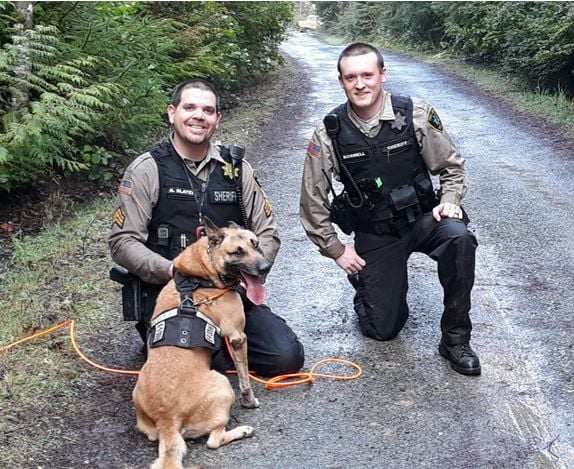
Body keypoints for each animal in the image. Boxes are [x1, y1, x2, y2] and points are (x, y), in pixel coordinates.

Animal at [132, 218, 272, 466]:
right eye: (238, 252)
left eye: (255, 244)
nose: (266, 267)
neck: (201, 274)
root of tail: (167, 418)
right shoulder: (238, 338)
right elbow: (245, 379)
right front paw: (250, 400)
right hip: (223, 385)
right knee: (214, 440)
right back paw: (242, 431)